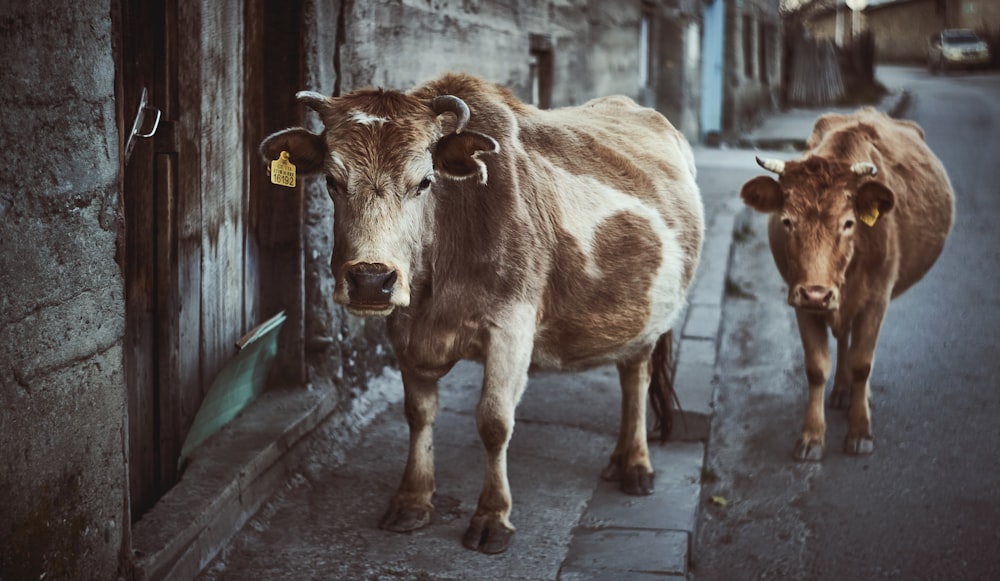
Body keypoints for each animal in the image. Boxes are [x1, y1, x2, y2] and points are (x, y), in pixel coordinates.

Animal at [262, 73, 708, 552]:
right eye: (331, 179)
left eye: (424, 181)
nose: (371, 279)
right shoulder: (405, 330)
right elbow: (418, 415)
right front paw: (412, 500)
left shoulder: (511, 327)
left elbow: (494, 422)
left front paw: (493, 517)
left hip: (650, 320)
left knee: (635, 381)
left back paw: (636, 465)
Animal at [744, 107, 952, 462]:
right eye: (787, 221)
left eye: (848, 223)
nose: (817, 293)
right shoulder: (799, 299)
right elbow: (816, 368)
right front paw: (812, 436)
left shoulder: (877, 298)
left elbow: (863, 363)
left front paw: (860, 431)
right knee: (844, 339)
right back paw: (842, 391)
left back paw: (859, 396)